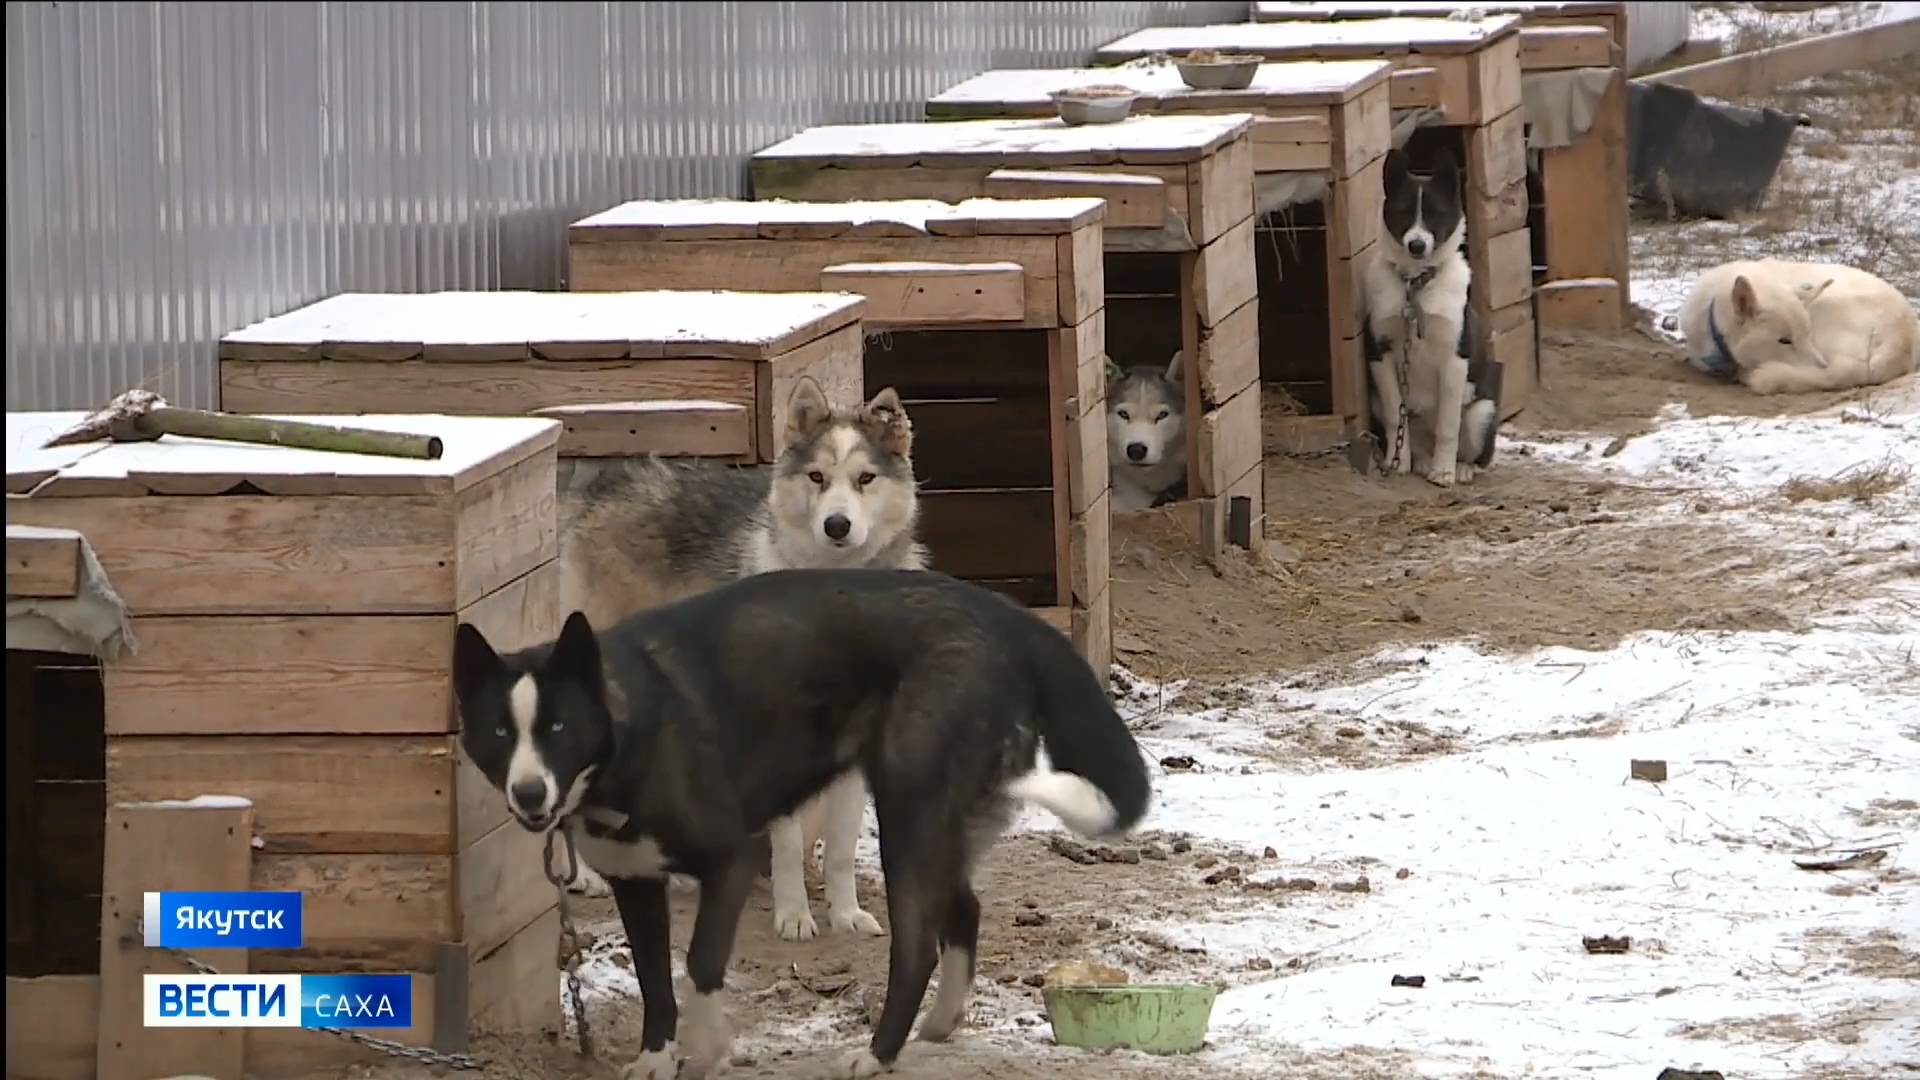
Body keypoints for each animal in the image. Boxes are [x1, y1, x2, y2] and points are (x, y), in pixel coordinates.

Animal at [449, 568, 1152, 1068]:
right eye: (499, 732)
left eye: (558, 728)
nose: (530, 794)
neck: (629, 729)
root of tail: (1004, 616)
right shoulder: (637, 882)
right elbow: (654, 980)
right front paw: (655, 1059)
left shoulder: (732, 859)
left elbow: (699, 962)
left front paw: (705, 1051)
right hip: (940, 819)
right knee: (966, 911)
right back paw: (940, 1022)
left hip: (907, 814)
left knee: (916, 948)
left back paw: (876, 1056)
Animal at [552, 374, 925, 937]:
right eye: (817, 477)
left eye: (866, 478)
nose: (837, 525)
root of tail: (596, 490)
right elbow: (788, 845)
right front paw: (794, 916)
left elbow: (840, 847)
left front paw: (845, 913)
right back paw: (589, 877)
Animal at [1359, 146, 1505, 484]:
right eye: (1402, 212)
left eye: (1436, 213)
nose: (1416, 245)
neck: (1416, 285)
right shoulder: (1380, 354)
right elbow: (1394, 414)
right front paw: (1398, 461)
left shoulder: (1454, 359)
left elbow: (1448, 425)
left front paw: (1444, 471)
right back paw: (1421, 461)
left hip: (1482, 412)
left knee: (1477, 451)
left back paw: (1459, 467)